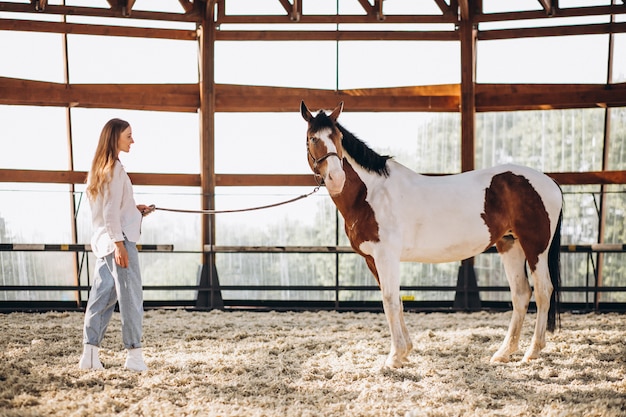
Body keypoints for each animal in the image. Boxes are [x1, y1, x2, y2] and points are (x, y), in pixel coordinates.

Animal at [300, 101, 564, 368]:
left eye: (339, 138)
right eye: (312, 138)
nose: (336, 178)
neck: (371, 193)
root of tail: (550, 182)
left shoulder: (386, 256)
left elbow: (389, 301)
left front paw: (394, 357)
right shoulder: (373, 260)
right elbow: (396, 301)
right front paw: (405, 351)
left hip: (535, 247)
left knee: (543, 292)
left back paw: (532, 351)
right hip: (510, 245)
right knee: (521, 294)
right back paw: (504, 352)